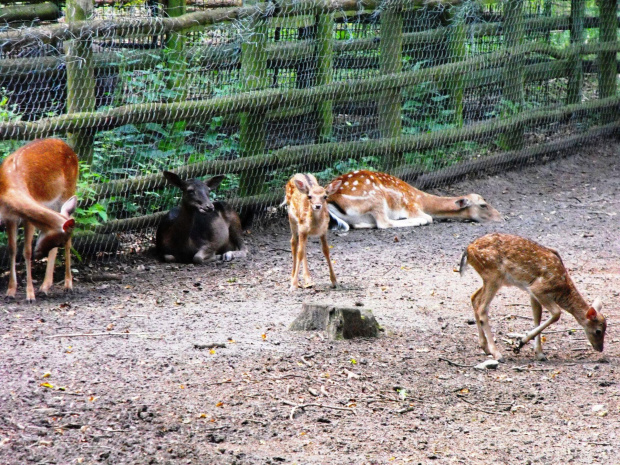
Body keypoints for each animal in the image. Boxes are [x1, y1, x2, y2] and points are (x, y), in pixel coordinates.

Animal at [0, 139, 80, 300]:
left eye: (59, 242)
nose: (39, 255)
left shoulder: (27, 218)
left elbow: (26, 251)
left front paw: (30, 294)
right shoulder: (9, 217)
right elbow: (12, 249)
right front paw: (10, 291)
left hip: (69, 190)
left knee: (70, 238)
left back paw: (67, 285)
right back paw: (45, 286)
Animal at [326, 169, 502, 230]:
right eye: (483, 205)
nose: (502, 217)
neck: (421, 200)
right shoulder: (411, 206)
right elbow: (429, 217)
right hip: (375, 198)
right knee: (383, 223)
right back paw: (417, 221)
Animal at [458, 234, 608, 360]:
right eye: (598, 331)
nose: (600, 348)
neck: (562, 289)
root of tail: (468, 250)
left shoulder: (532, 293)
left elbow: (537, 316)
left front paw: (539, 353)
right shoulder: (538, 289)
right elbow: (556, 313)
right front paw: (520, 343)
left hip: (490, 278)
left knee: (474, 298)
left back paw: (485, 348)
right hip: (493, 275)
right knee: (482, 308)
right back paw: (497, 354)